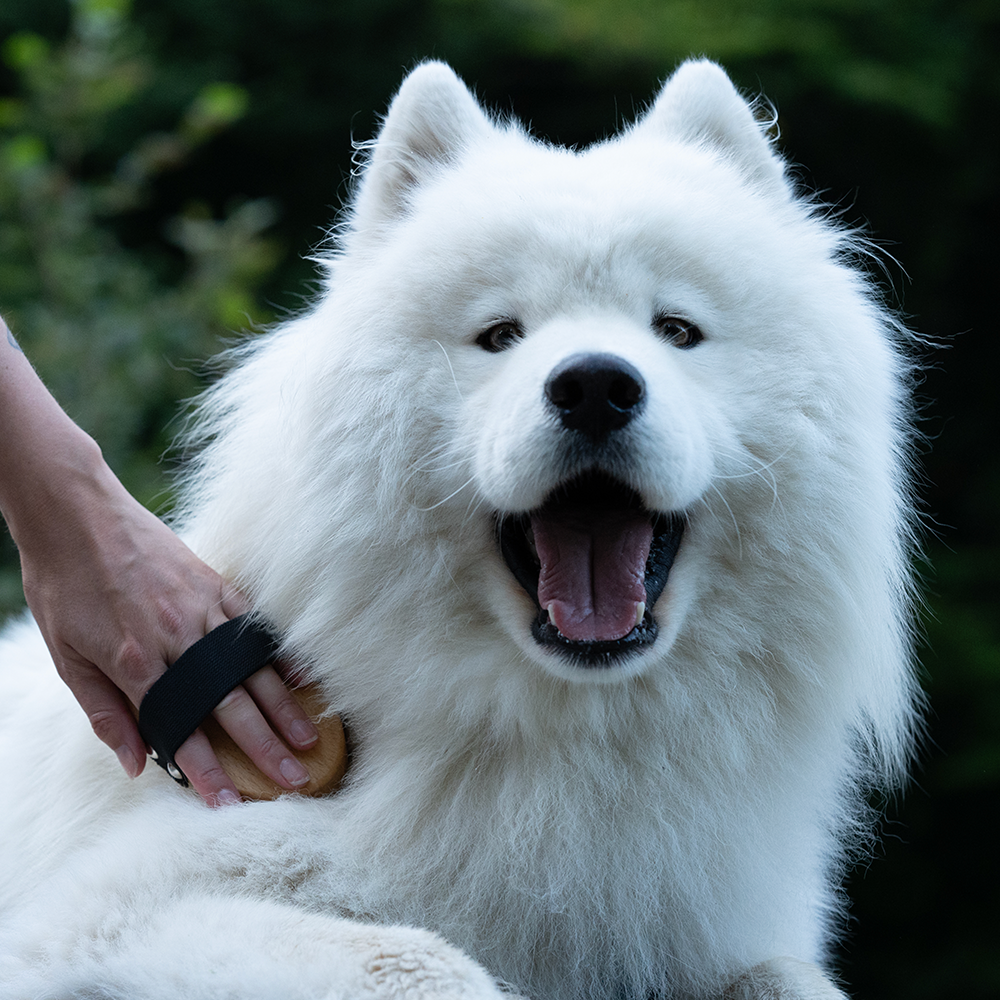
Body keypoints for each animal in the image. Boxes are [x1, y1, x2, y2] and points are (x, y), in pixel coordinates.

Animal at [0, 62, 920, 1000]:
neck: (567, 737)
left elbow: (794, 979)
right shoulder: (95, 921)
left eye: (677, 331)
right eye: (500, 335)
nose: (595, 386)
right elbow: (423, 959)